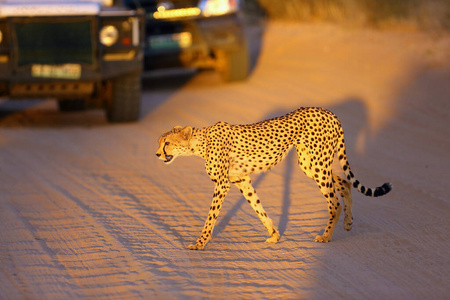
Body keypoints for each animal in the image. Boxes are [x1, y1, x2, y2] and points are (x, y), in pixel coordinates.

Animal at [156, 106, 392, 250]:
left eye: (166, 143)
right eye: (160, 142)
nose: (157, 154)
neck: (201, 142)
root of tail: (328, 112)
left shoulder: (222, 184)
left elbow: (211, 217)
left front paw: (200, 243)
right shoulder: (242, 180)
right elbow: (258, 208)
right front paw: (274, 234)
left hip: (317, 164)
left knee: (334, 201)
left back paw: (326, 236)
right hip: (309, 165)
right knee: (344, 182)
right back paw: (348, 223)